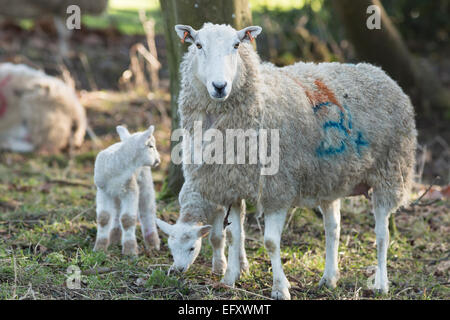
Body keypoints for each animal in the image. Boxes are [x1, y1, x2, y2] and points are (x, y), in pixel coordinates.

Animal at [92, 124, 161, 255]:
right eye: (150, 146)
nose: (158, 161)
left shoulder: (130, 190)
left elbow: (127, 219)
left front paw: (130, 251)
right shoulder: (102, 191)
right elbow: (103, 218)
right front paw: (99, 249)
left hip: (144, 179)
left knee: (147, 209)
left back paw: (153, 243)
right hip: (116, 193)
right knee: (117, 212)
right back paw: (114, 238)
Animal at [156, 23, 416, 300]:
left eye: (236, 45)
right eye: (198, 45)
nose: (219, 86)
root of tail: (381, 73)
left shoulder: (277, 188)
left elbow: (270, 242)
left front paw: (280, 287)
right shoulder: (234, 184)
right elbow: (235, 236)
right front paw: (229, 279)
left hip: (390, 171)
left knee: (382, 234)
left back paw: (380, 284)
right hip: (330, 179)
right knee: (333, 228)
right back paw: (329, 278)